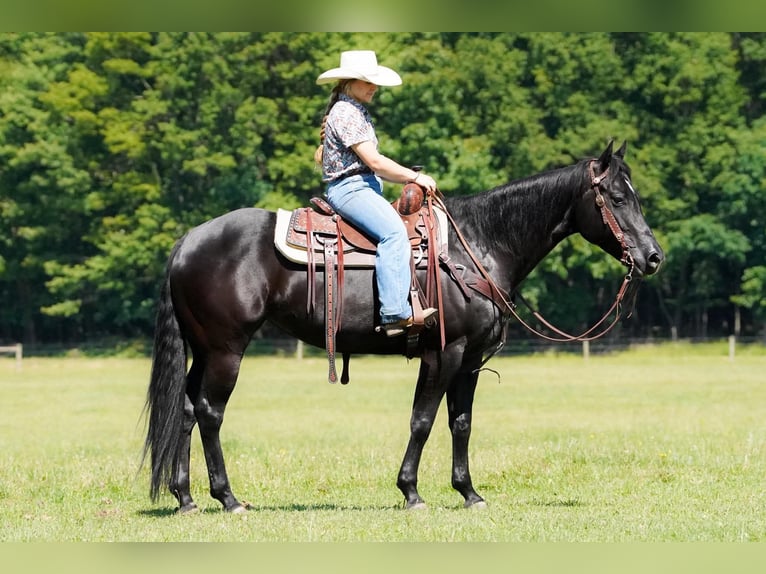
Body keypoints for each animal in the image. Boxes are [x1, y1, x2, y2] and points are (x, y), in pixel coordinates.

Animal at [142, 140, 663, 513]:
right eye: (618, 197)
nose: (653, 257)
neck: (475, 247)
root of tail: (189, 240)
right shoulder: (444, 352)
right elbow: (423, 420)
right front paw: (411, 492)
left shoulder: (470, 360)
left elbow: (460, 423)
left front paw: (469, 493)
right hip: (226, 350)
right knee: (209, 412)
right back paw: (228, 499)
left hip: (204, 350)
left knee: (185, 411)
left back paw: (186, 498)